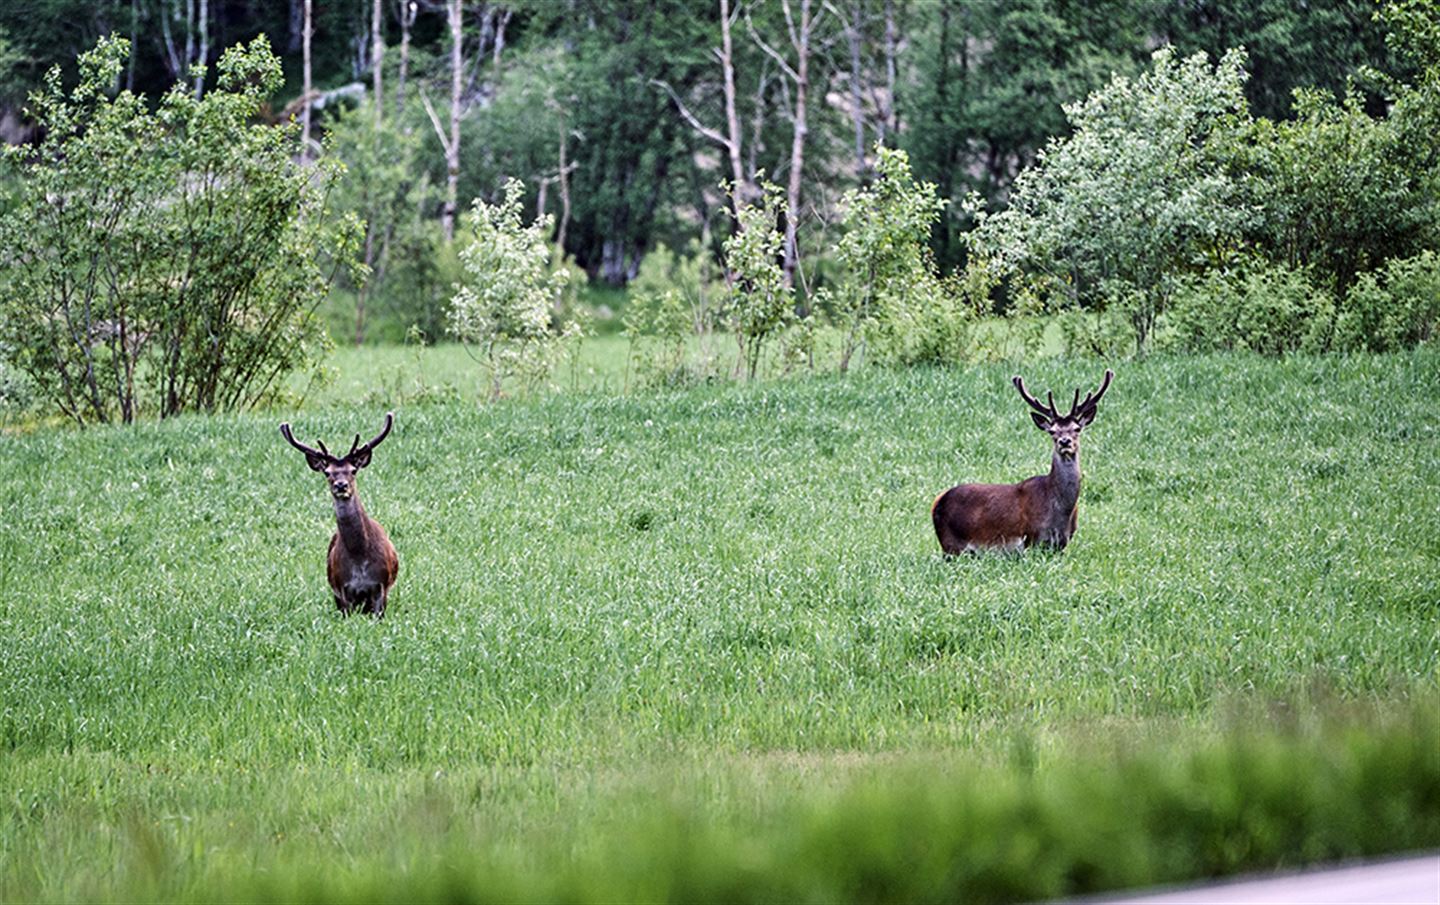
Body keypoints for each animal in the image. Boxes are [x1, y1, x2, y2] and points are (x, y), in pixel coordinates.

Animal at [933, 368, 1111, 556]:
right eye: (1052, 431)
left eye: (1077, 428)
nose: (1064, 442)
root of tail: (937, 501)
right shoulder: (1032, 540)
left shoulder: (1063, 543)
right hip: (952, 545)